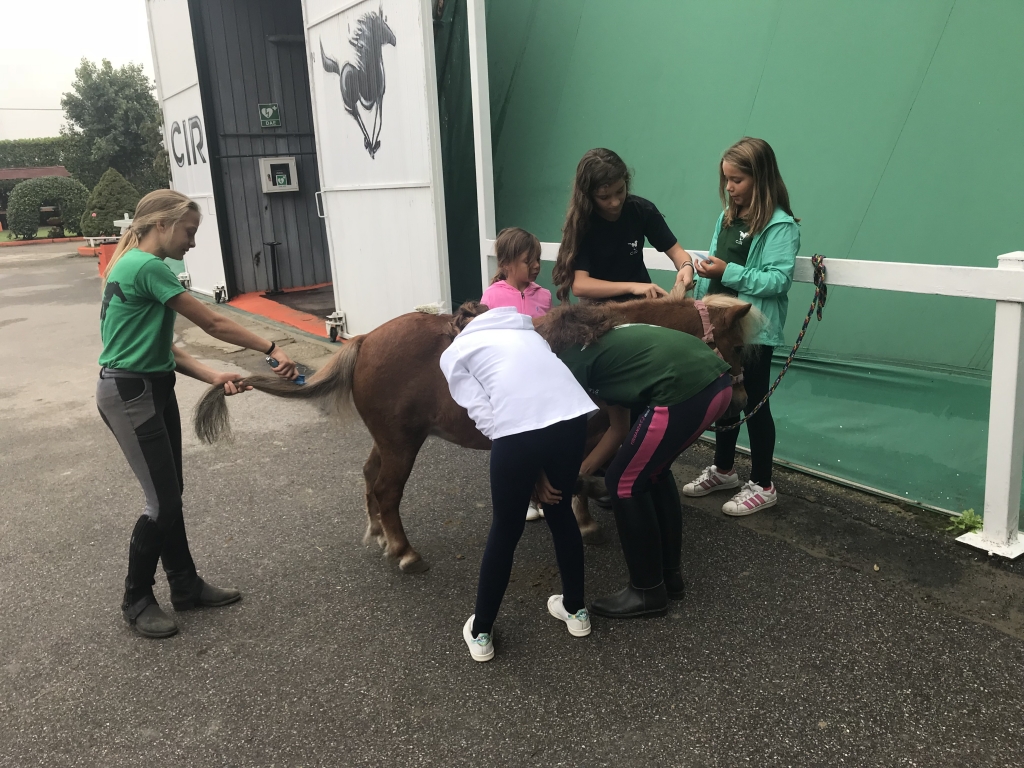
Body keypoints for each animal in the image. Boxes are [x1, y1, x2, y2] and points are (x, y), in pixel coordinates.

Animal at [194, 293, 760, 573]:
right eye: (735, 347)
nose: (741, 402)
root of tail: (365, 339)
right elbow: (577, 481)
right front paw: (585, 523)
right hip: (403, 444)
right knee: (387, 490)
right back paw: (404, 552)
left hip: (389, 442)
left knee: (370, 477)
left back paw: (379, 534)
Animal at [320, 7, 395, 159]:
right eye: (382, 27)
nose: (395, 40)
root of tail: (341, 70)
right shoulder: (378, 97)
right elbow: (377, 120)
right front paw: (373, 145)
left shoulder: (379, 98)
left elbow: (378, 120)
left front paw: (374, 144)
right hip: (350, 101)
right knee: (356, 116)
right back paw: (368, 144)